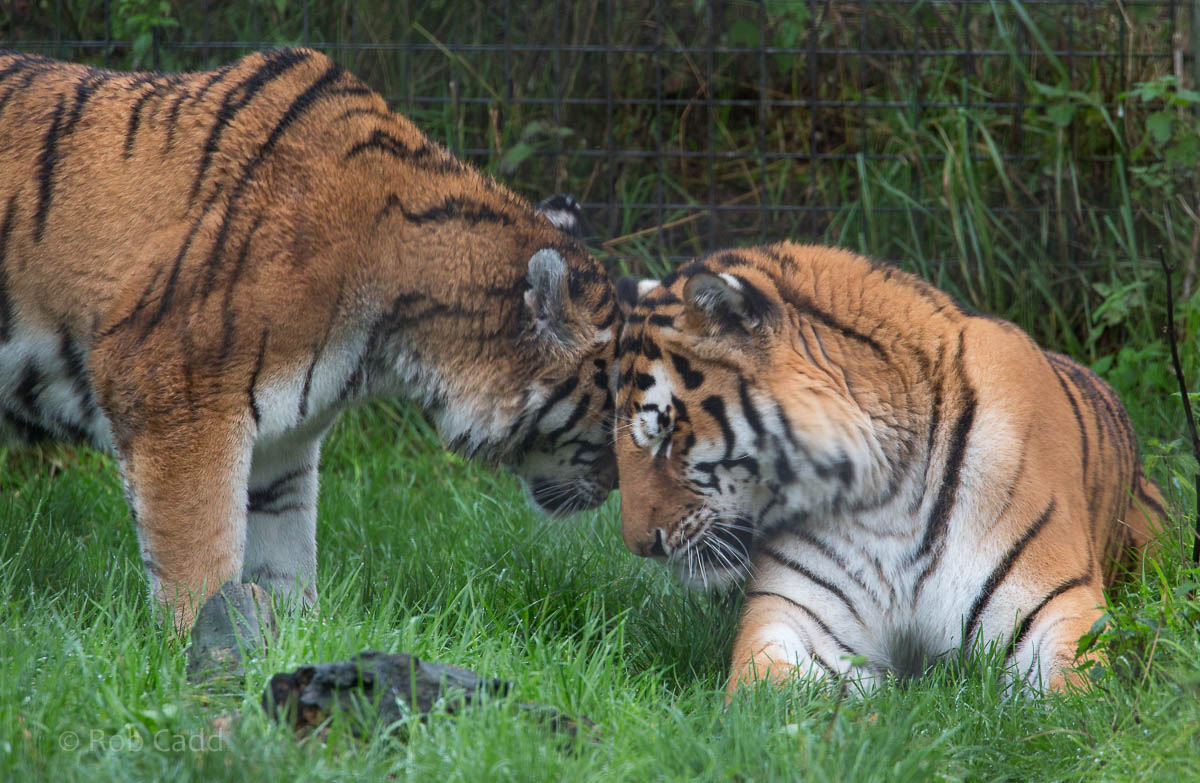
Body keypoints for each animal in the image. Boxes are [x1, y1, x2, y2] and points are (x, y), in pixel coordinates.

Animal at [0, 48, 619, 631]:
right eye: (614, 411)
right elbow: (200, 553)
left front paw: (299, 638)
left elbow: (286, 553)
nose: (616, 489)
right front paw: (196, 646)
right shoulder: (172, 392)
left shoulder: (284, 441)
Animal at [612, 241, 1166, 694]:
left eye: (667, 434)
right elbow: (773, 695)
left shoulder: (1051, 603)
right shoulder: (795, 615)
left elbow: (1076, 695)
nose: (639, 546)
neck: (884, 495)